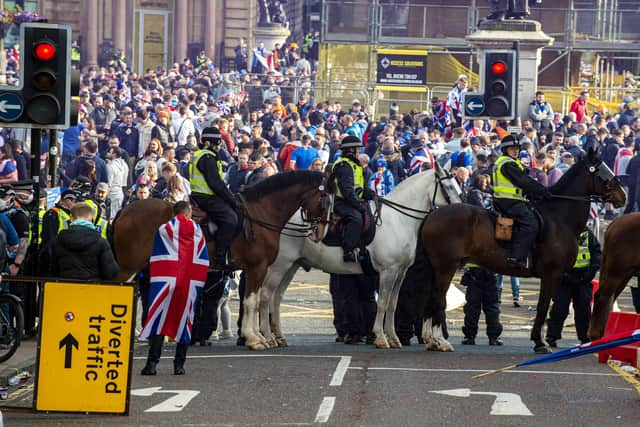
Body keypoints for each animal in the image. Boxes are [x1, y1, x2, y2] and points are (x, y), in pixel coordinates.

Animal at [112, 169, 330, 350]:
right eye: (325, 201)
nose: (320, 233)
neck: (260, 215)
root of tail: (125, 210)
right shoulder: (257, 268)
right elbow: (252, 302)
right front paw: (254, 339)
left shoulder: (257, 270)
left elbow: (253, 301)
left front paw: (258, 336)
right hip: (129, 266)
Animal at [248, 165, 462, 352]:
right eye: (448, 186)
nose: (461, 208)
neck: (398, 220)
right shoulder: (387, 271)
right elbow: (382, 303)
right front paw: (381, 338)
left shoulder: (400, 272)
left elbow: (392, 304)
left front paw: (393, 338)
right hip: (278, 266)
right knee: (264, 297)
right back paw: (266, 337)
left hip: (291, 266)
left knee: (276, 298)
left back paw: (278, 337)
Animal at [412, 150, 628, 354]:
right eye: (602, 171)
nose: (623, 196)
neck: (558, 217)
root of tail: (432, 214)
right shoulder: (552, 274)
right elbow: (543, 307)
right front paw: (540, 342)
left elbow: (545, 306)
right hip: (445, 267)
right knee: (438, 299)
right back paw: (440, 341)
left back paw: (431, 340)